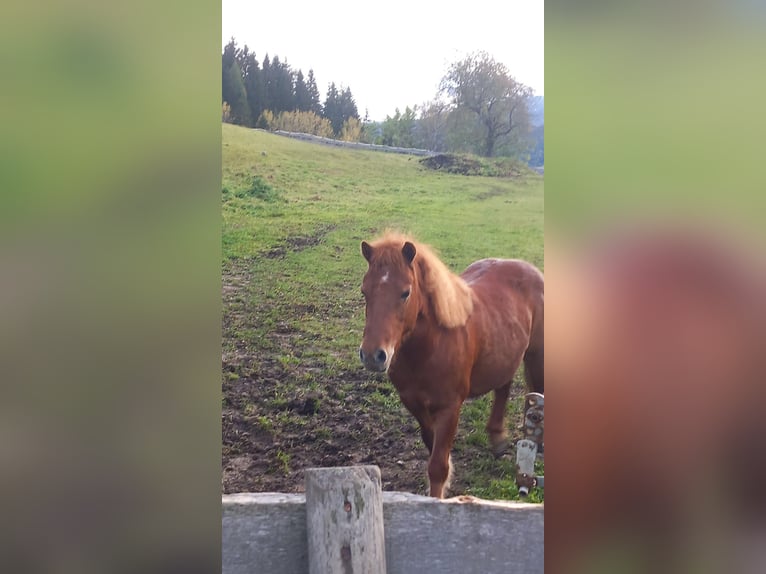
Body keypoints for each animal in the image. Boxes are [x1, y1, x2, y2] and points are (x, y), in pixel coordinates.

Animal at [358, 234, 544, 500]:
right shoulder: (413, 402)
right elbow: (431, 443)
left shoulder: (450, 407)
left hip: (536, 357)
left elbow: (437, 466)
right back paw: (497, 436)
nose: (373, 356)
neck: (430, 346)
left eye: (405, 292)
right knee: (503, 385)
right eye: (364, 291)